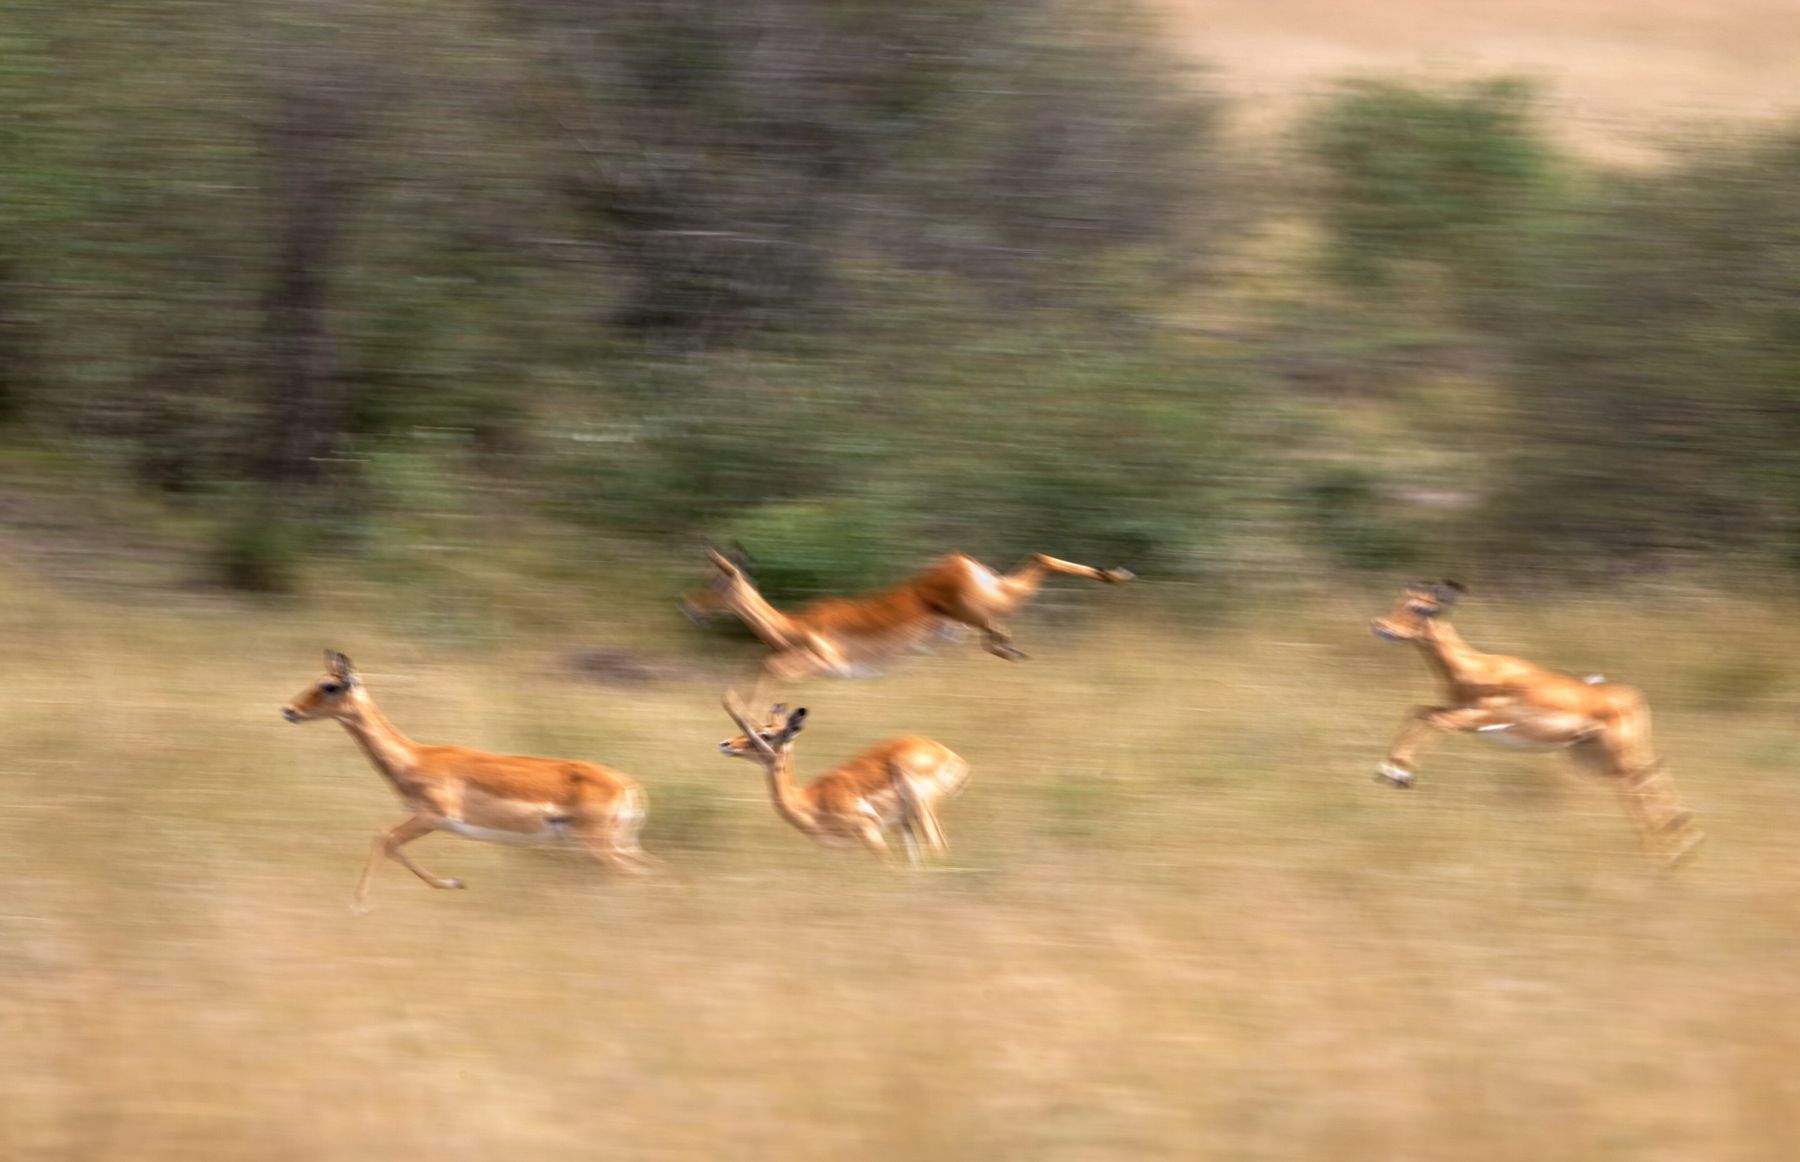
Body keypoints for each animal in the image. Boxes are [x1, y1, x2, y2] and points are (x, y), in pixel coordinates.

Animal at [282, 651, 650, 911]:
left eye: (330, 685)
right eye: (317, 679)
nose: (289, 711)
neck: (416, 757)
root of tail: (629, 787)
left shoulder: (434, 816)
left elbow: (384, 838)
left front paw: (358, 905)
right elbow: (388, 842)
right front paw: (456, 882)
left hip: (597, 844)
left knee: (638, 875)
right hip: (616, 843)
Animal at [683, 547, 1134, 698]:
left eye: (714, 582)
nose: (690, 607)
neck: (791, 627)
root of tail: (961, 562)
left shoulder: (821, 662)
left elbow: (767, 666)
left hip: (988, 605)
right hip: (993, 597)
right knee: (1034, 565)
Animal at [717, 697, 971, 864]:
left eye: (766, 735)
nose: (725, 744)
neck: (809, 801)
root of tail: (950, 756)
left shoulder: (868, 831)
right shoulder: (835, 849)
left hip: (920, 806)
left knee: (937, 846)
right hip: (904, 822)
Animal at [1370, 581, 1702, 865]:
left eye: (1420, 608)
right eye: (1399, 601)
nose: (1380, 625)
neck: (1476, 668)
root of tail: (1630, 695)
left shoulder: (1477, 718)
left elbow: (1432, 720)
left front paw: (1396, 773)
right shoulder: (1461, 712)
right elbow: (1417, 711)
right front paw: (1394, 773)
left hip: (1617, 754)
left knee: (1646, 779)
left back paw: (1674, 851)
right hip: (1593, 758)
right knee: (1644, 778)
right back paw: (1673, 850)